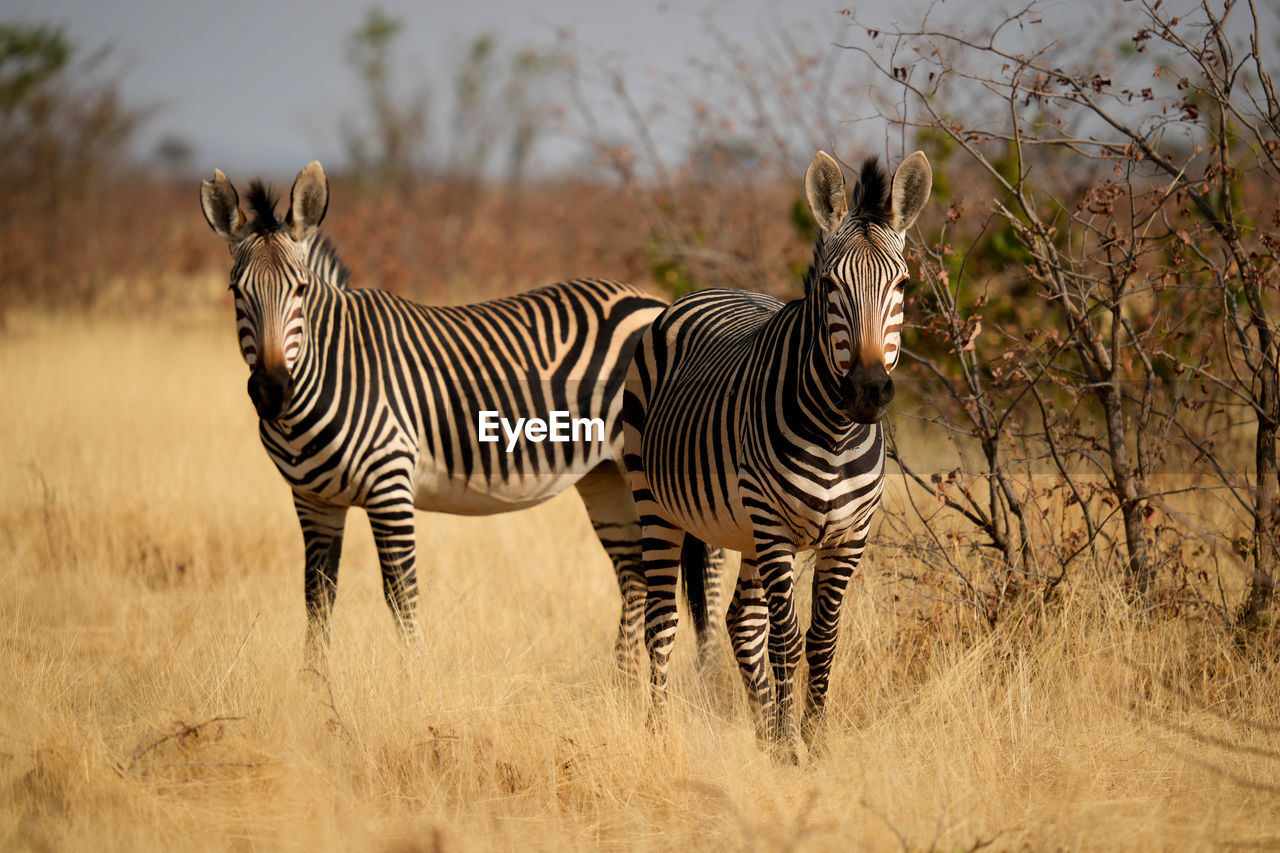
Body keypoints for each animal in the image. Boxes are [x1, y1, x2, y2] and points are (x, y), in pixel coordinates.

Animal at [199, 161, 721, 666]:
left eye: (302, 290)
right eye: (235, 291)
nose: (271, 390)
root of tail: (655, 302)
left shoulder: (390, 483)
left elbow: (400, 594)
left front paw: (417, 679)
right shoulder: (313, 500)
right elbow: (317, 598)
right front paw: (315, 684)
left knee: (706, 566)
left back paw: (708, 676)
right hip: (606, 474)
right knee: (634, 574)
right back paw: (622, 683)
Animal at [622, 149, 931, 753]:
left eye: (903, 285)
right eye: (830, 285)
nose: (867, 390)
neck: (835, 435)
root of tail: (704, 292)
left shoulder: (849, 537)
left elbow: (822, 639)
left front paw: (810, 743)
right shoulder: (776, 527)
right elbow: (787, 639)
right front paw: (791, 748)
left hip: (743, 530)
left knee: (741, 620)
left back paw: (762, 735)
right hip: (657, 504)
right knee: (662, 620)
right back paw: (657, 733)